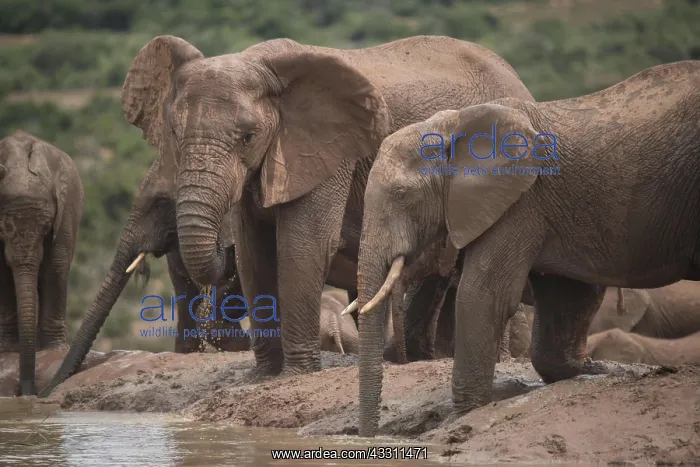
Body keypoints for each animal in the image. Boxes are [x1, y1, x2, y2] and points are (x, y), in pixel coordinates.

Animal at [0, 130, 83, 395]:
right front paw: (8, 350)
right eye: (3, 228)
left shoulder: (65, 212)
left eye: (46, 227)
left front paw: (54, 351)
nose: (27, 392)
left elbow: (56, 264)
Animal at [114, 34, 535, 380]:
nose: (221, 246)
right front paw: (264, 375)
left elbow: (303, 246)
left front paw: (295, 374)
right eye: (173, 133)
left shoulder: (329, 152)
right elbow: (254, 254)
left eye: (248, 137)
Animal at [353, 60, 700, 436]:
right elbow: (569, 294)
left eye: (402, 196)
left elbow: (482, 296)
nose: (368, 437)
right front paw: (594, 371)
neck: (452, 123)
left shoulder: (519, 202)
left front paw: (462, 416)